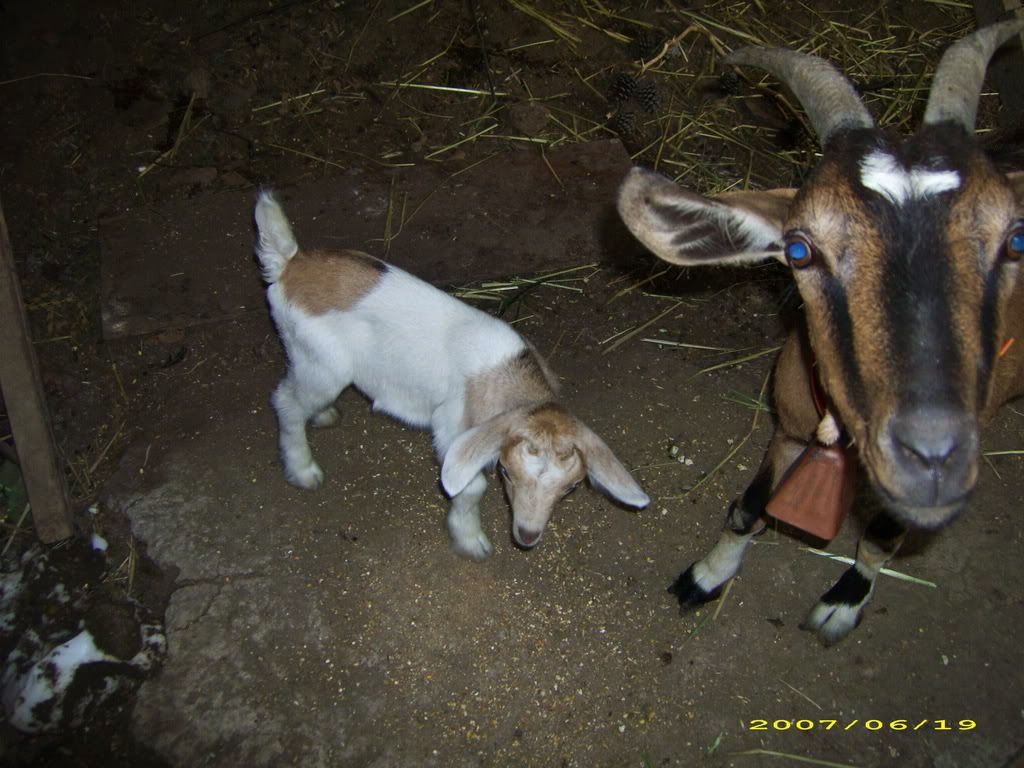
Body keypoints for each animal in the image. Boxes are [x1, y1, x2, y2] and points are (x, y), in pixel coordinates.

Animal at [253, 192, 649, 559]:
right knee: (287, 403)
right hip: (322, 365)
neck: (503, 375)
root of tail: (289, 264)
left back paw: (323, 416)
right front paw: (471, 541)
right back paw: (303, 470)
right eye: (506, 473)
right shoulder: (450, 427)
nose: (526, 536)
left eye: (571, 488)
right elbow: (471, 487)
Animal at [617, 20, 1024, 643]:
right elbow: (750, 506)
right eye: (799, 249)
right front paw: (707, 575)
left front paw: (843, 603)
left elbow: (880, 535)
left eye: (1016, 239)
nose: (932, 456)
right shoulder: (788, 425)